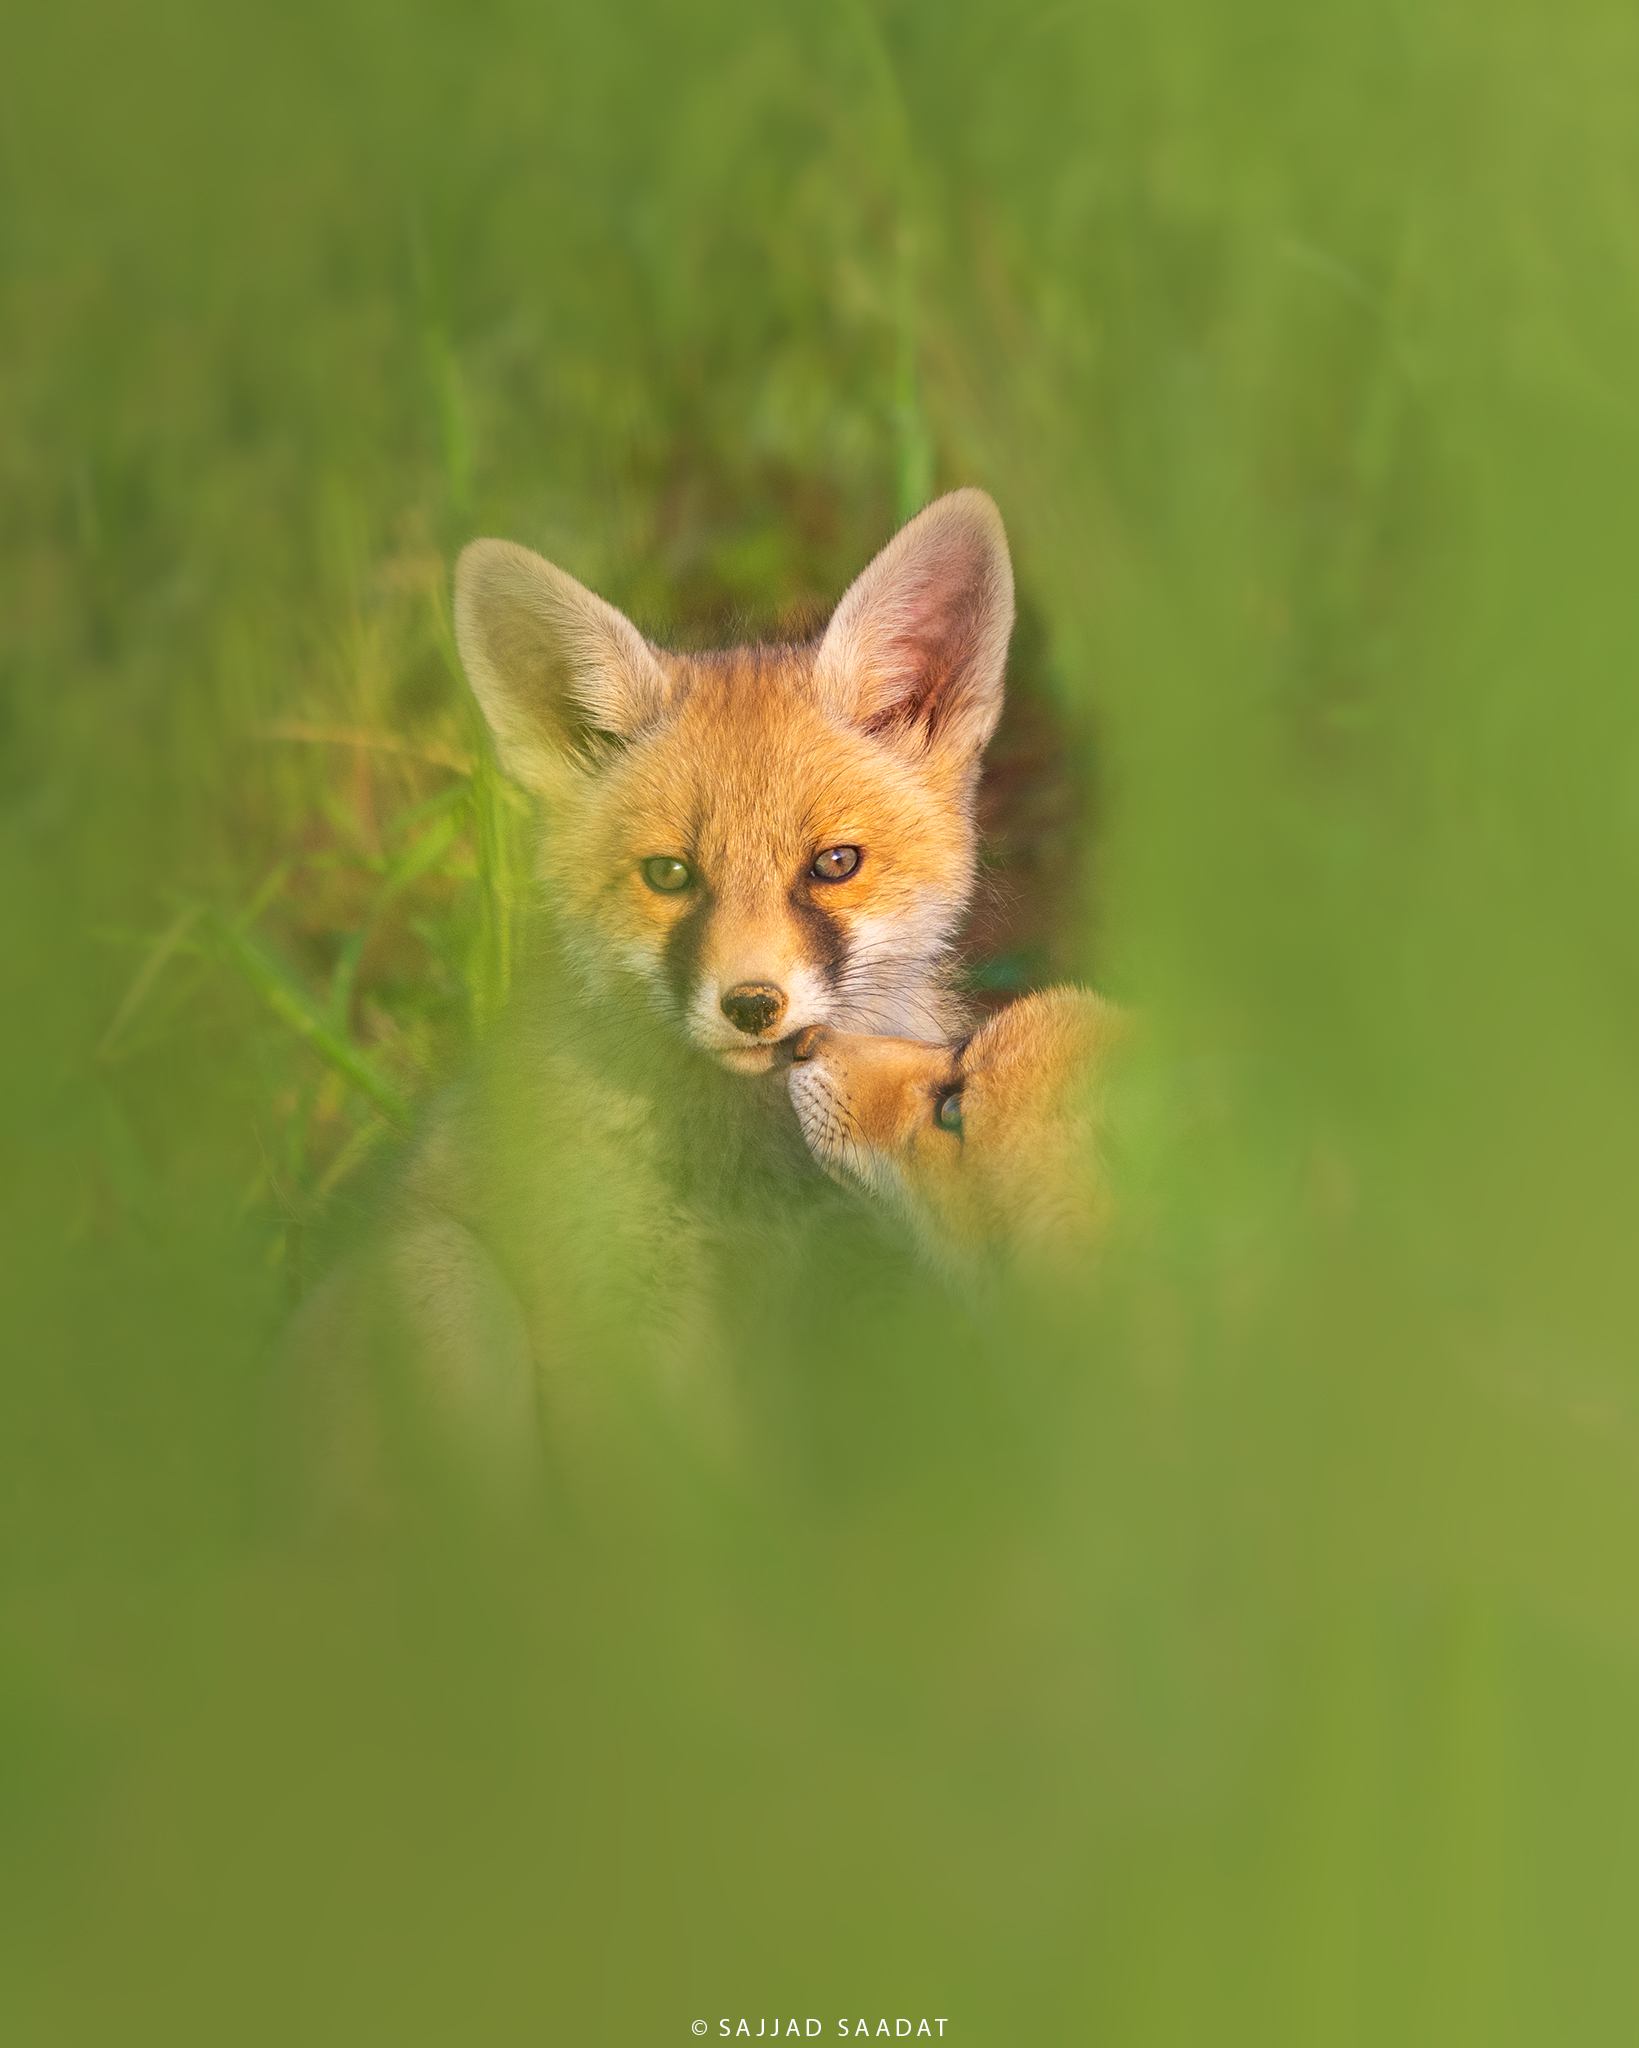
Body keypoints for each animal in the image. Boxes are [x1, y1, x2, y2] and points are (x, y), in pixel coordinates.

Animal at [287, 490, 1017, 1509]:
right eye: (670, 875)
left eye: (835, 864)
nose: (752, 1005)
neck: (753, 1191)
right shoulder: (618, 1332)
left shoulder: (849, 1302)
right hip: (445, 1288)